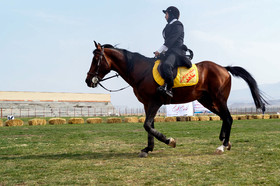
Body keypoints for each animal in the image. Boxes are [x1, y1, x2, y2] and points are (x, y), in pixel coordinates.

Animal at [86, 41, 266, 158]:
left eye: (95, 60)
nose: (88, 81)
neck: (142, 71)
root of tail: (224, 68)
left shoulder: (155, 102)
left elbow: (147, 125)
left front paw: (169, 141)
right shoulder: (147, 104)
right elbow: (149, 126)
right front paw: (148, 148)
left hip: (219, 99)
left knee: (228, 118)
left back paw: (222, 146)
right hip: (207, 101)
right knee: (224, 117)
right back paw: (225, 142)